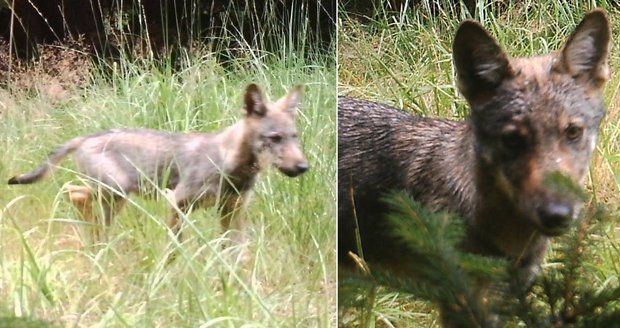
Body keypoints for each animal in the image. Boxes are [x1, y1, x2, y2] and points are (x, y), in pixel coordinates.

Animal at [8, 83, 308, 245]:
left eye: (295, 137)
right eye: (275, 138)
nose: (303, 167)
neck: (231, 165)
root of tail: (87, 137)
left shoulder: (232, 213)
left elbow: (234, 252)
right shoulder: (177, 203)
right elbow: (175, 248)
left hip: (115, 197)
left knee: (78, 198)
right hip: (116, 192)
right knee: (72, 193)